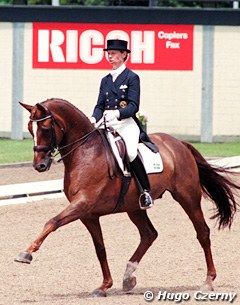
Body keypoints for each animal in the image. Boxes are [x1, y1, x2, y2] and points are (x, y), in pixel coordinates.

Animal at [15, 98, 239, 296]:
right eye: (29, 129)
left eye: (45, 128)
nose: (39, 165)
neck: (85, 152)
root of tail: (180, 143)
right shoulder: (88, 214)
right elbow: (100, 248)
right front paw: (104, 286)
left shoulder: (82, 204)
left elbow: (51, 222)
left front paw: (26, 253)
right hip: (134, 207)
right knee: (149, 234)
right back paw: (128, 277)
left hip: (187, 197)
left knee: (202, 232)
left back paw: (208, 281)